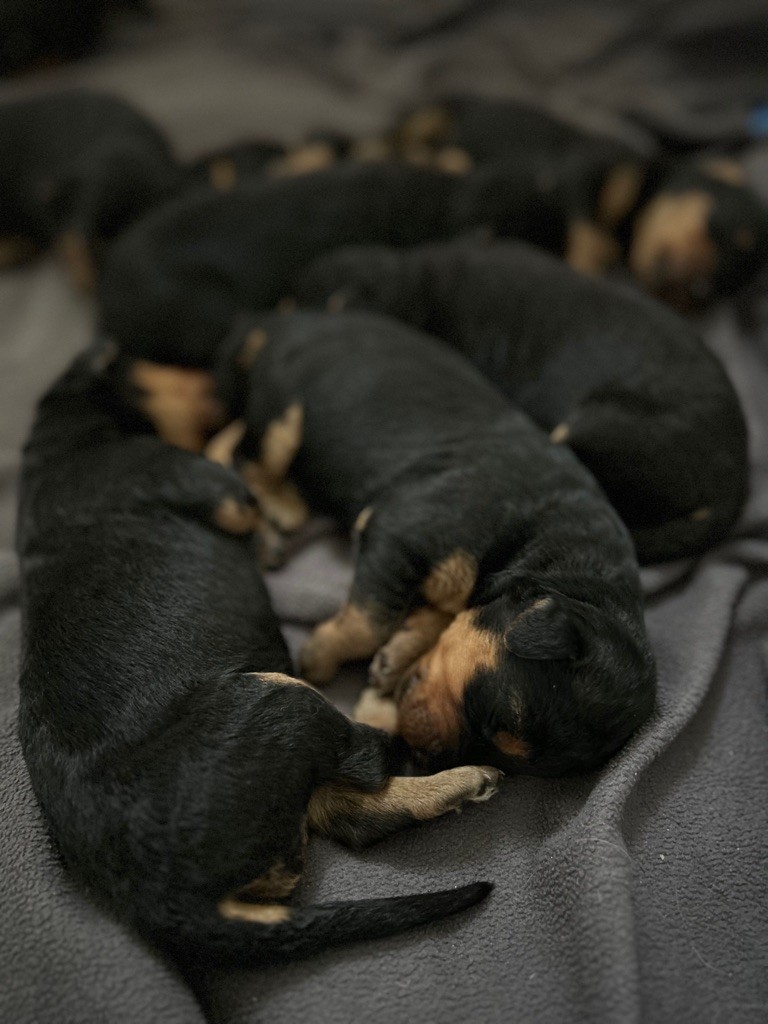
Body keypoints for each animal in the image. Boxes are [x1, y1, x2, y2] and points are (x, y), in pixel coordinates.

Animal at [18, 350, 501, 966]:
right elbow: (231, 458)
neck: (64, 438)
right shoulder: (215, 490)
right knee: (365, 763)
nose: (226, 378)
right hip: (278, 696)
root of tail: (167, 902)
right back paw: (414, 730)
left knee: (355, 812)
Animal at [210, 311, 655, 774]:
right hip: (282, 417)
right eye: (493, 718)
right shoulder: (400, 532)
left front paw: (400, 649)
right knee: (242, 449)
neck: (543, 542)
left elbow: (436, 616)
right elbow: (370, 621)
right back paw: (283, 504)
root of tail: (287, 317)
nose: (425, 758)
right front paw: (320, 656)